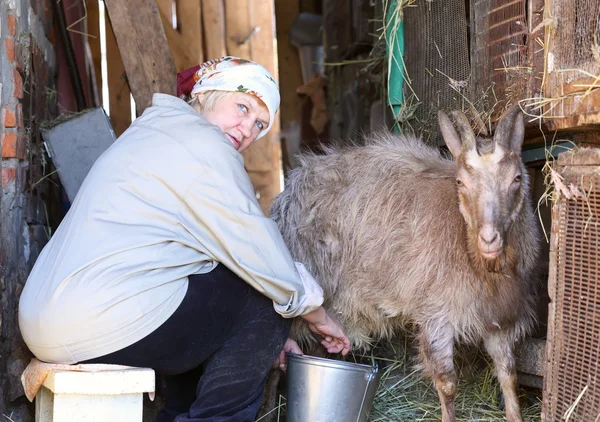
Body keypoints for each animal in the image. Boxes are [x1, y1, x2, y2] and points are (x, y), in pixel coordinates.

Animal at [270, 106, 540, 422]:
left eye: (517, 179)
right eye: (460, 182)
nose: (489, 238)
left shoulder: (501, 319)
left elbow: (508, 375)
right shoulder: (436, 313)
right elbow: (447, 383)